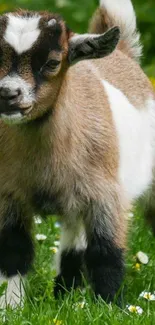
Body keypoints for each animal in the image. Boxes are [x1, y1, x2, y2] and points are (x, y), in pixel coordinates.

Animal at [0, 0, 154, 306]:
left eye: (52, 63)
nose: (8, 94)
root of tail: (123, 53)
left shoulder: (106, 195)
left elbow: (106, 253)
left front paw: (110, 306)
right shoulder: (9, 194)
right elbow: (15, 251)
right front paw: (10, 306)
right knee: (73, 240)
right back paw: (66, 292)